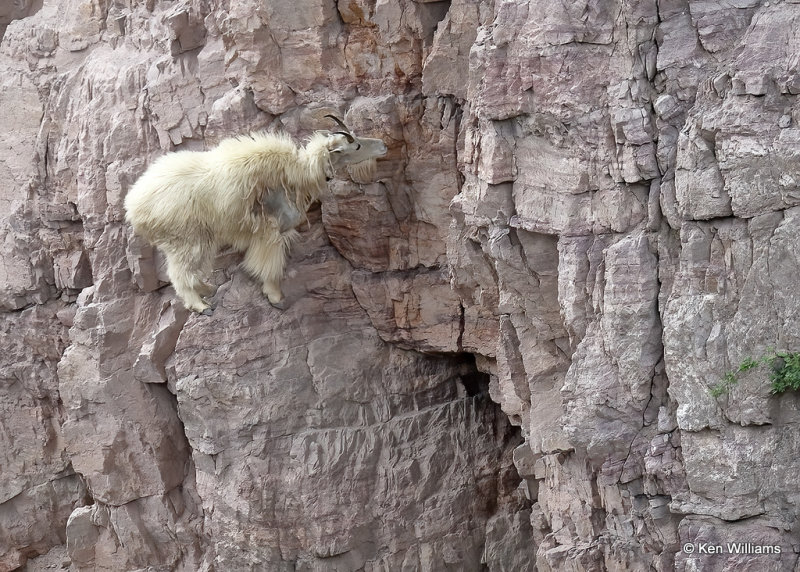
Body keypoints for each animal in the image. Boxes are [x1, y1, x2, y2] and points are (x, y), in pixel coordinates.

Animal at [125, 115, 388, 312]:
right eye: (356, 145)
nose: (383, 145)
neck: (297, 173)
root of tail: (134, 206)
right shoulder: (270, 232)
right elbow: (270, 266)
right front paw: (276, 297)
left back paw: (207, 289)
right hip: (184, 241)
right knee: (179, 274)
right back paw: (200, 305)